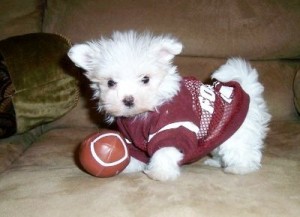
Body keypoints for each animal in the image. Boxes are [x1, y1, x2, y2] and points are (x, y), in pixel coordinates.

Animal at [68, 30, 272, 180]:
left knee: (243, 150)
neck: (146, 112)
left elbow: (164, 151)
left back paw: (240, 168)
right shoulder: (132, 138)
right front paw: (127, 167)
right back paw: (217, 163)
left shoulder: (173, 127)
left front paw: (160, 173)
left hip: (238, 132)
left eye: (145, 79)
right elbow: (132, 152)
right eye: (110, 83)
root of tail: (246, 89)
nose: (128, 99)